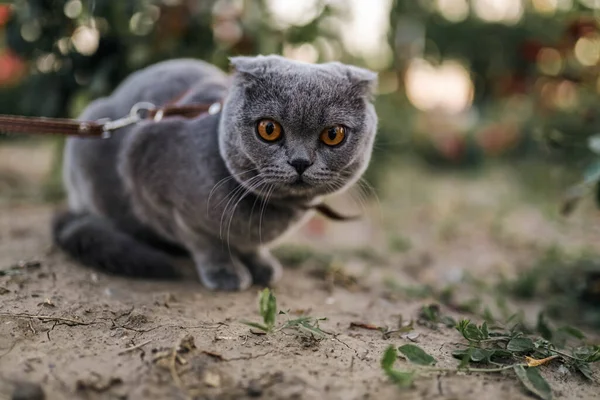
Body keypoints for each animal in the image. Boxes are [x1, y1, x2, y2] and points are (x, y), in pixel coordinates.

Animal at [54, 54, 378, 290]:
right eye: (269, 129)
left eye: (333, 134)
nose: (300, 162)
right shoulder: (158, 195)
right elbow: (204, 241)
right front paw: (225, 271)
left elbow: (251, 246)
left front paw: (260, 264)